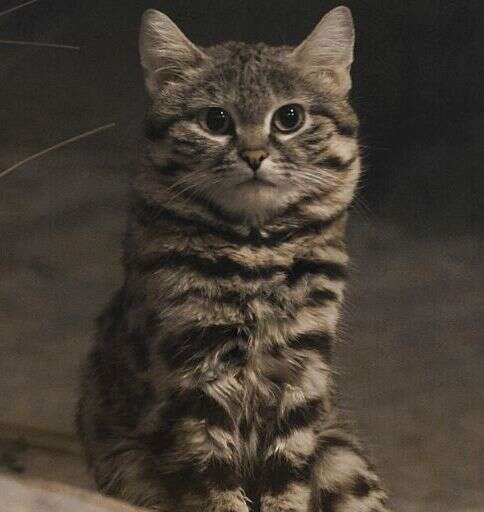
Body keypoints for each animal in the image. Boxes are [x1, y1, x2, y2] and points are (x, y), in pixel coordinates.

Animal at [76, 5, 394, 512]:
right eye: (215, 120)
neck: (256, 247)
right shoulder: (194, 372)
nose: (254, 156)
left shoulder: (301, 370)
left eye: (289, 117)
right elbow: (215, 479)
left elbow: (287, 473)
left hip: (343, 458)